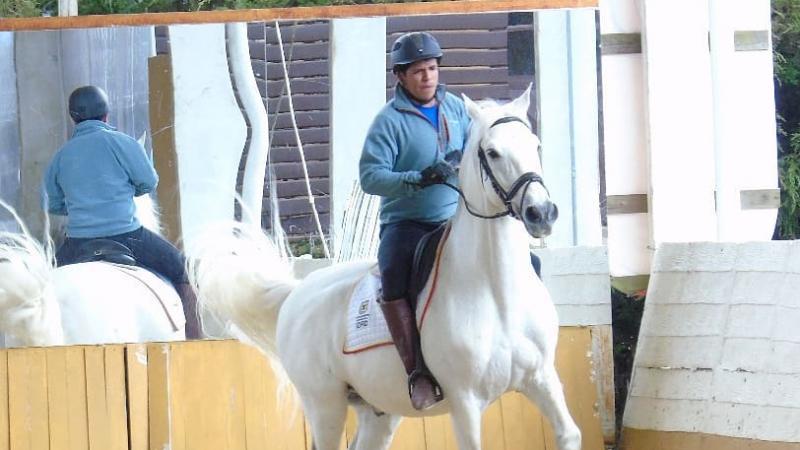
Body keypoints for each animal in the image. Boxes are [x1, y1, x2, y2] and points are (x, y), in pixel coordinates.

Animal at [194, 88, 580, 450]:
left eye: (535, 144)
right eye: (493, 153)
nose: (541, 213)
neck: (496, 292)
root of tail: (297, 293)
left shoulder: (542, 379)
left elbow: (570, 434)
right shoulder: (466, 401)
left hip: (377, 410)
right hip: (325, 404)